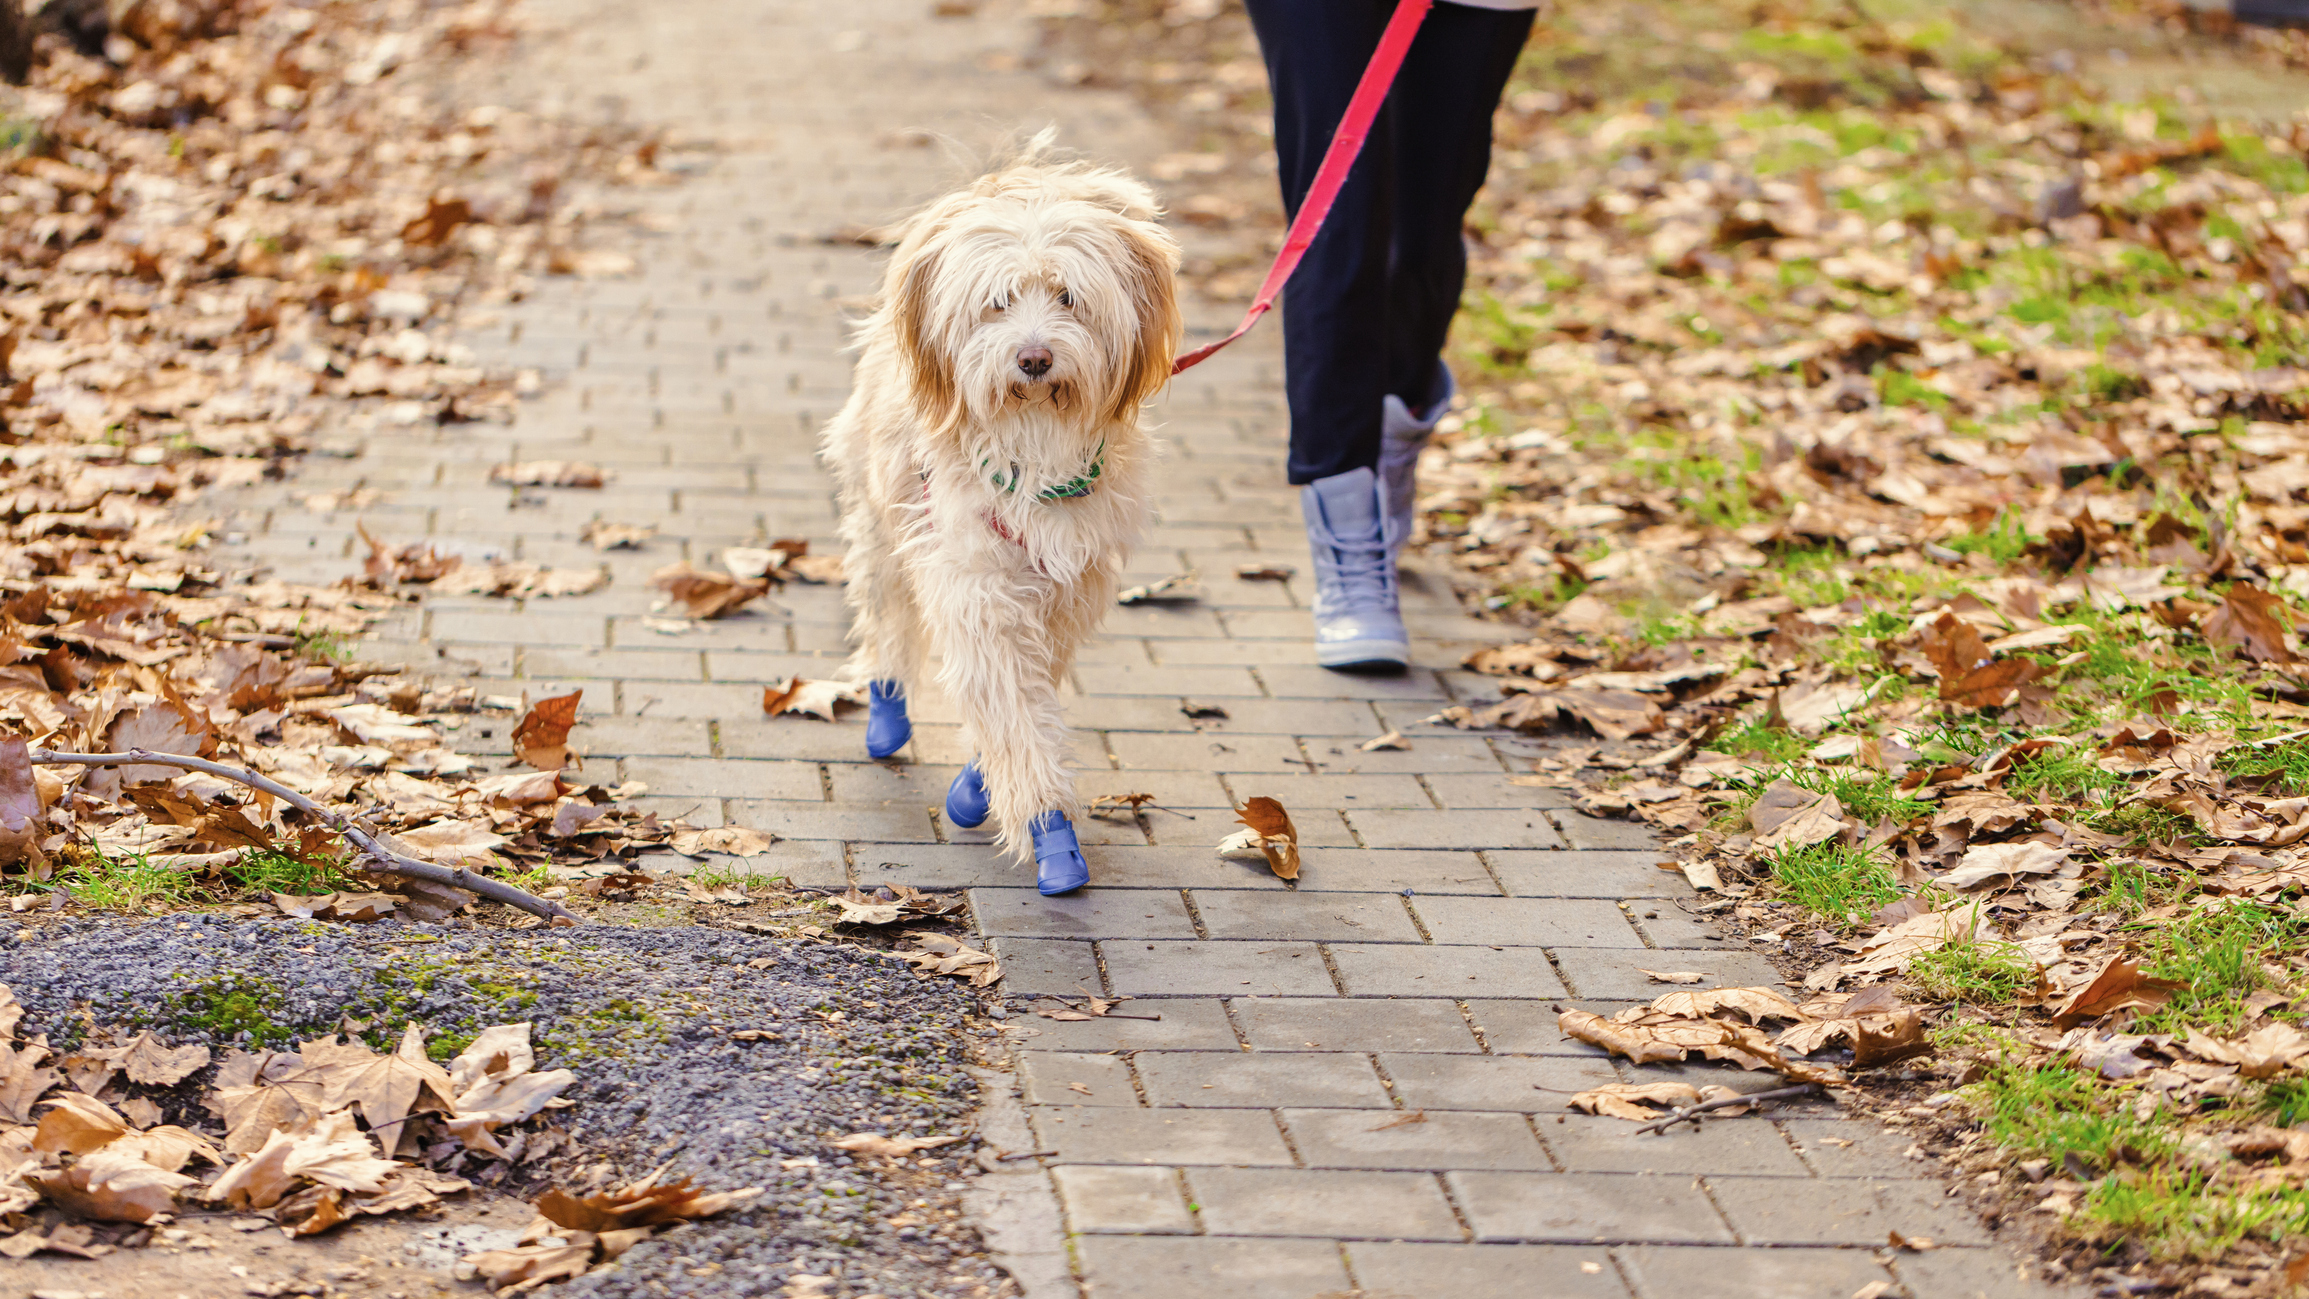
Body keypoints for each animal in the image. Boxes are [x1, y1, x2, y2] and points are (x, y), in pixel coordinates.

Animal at [822, 144, 1182, 895]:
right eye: (997, 303)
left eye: (1068, 297)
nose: (1034, 357)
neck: (1035, 438)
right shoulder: (976, 584)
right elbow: (1010, 700)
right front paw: (1047, 826)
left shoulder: (1070, 587)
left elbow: (1030, 688)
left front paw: (980, 789)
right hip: (881, 518)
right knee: (887, 616)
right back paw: (886, 713)